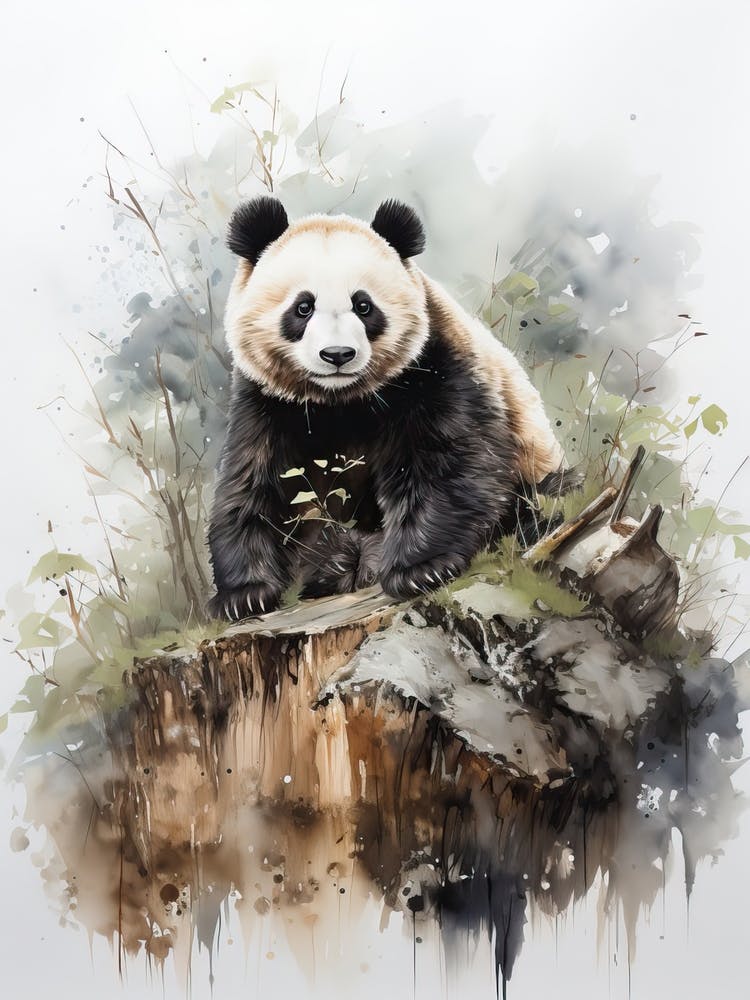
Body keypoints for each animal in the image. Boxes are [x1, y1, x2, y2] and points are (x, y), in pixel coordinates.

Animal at [207, 196, 568, 620]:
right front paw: (244, 595)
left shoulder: (431, 368)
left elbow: (447, 461)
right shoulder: (268, 402)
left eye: (363, 306)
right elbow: (254, 482)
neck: (341, 399)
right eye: (303, 307)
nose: (337, 355)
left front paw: (420, 568)